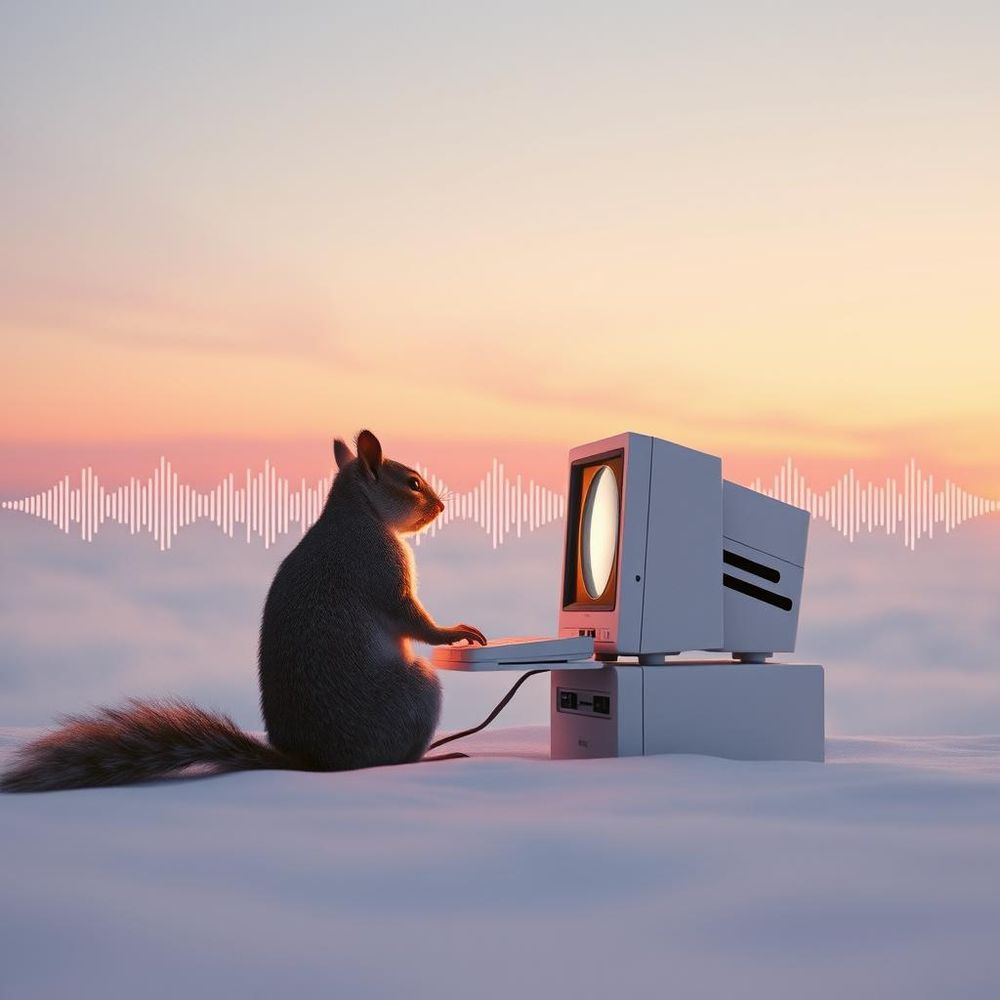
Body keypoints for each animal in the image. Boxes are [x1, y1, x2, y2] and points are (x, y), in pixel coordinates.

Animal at [1, 429, 488, 792]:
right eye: (412, 483)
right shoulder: (379, 570)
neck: (361, 514)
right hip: (416, 690)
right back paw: (436, 753)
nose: (441, 506)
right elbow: (411, 618)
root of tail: (312, 760)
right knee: (395, 756)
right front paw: (453, 632)